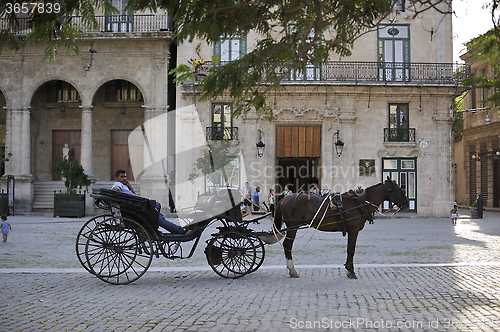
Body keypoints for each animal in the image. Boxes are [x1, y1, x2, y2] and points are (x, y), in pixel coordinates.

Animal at [264, 178, 408, 278]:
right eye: (398, 190)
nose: (406, 204)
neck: (359, 203)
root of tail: (284, 198)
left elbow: (350, 249)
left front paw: (348, 269)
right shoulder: (353, 231)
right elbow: (351, 250)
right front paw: (350, 271)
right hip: (292, 227)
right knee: (287, 245)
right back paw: (293, 270)